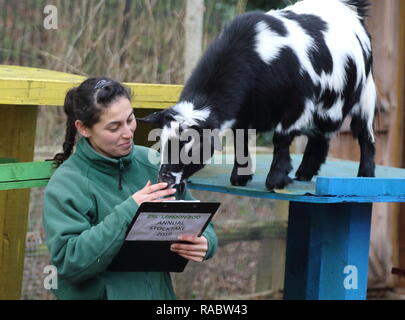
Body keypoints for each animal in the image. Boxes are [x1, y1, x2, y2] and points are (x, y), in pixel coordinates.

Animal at [137, 0, 376, 190]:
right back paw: (304, 173)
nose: (165, 180)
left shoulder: (295, 104)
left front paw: (276, 179)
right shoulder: (243, 115)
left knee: (365, 135)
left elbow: (281, 139)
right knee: (322, 137)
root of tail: (349, 7)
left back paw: (365, 176)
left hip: (365, 95)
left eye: (191, 147)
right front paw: (240, 176)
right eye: (163, 142)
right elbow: (241, 142)